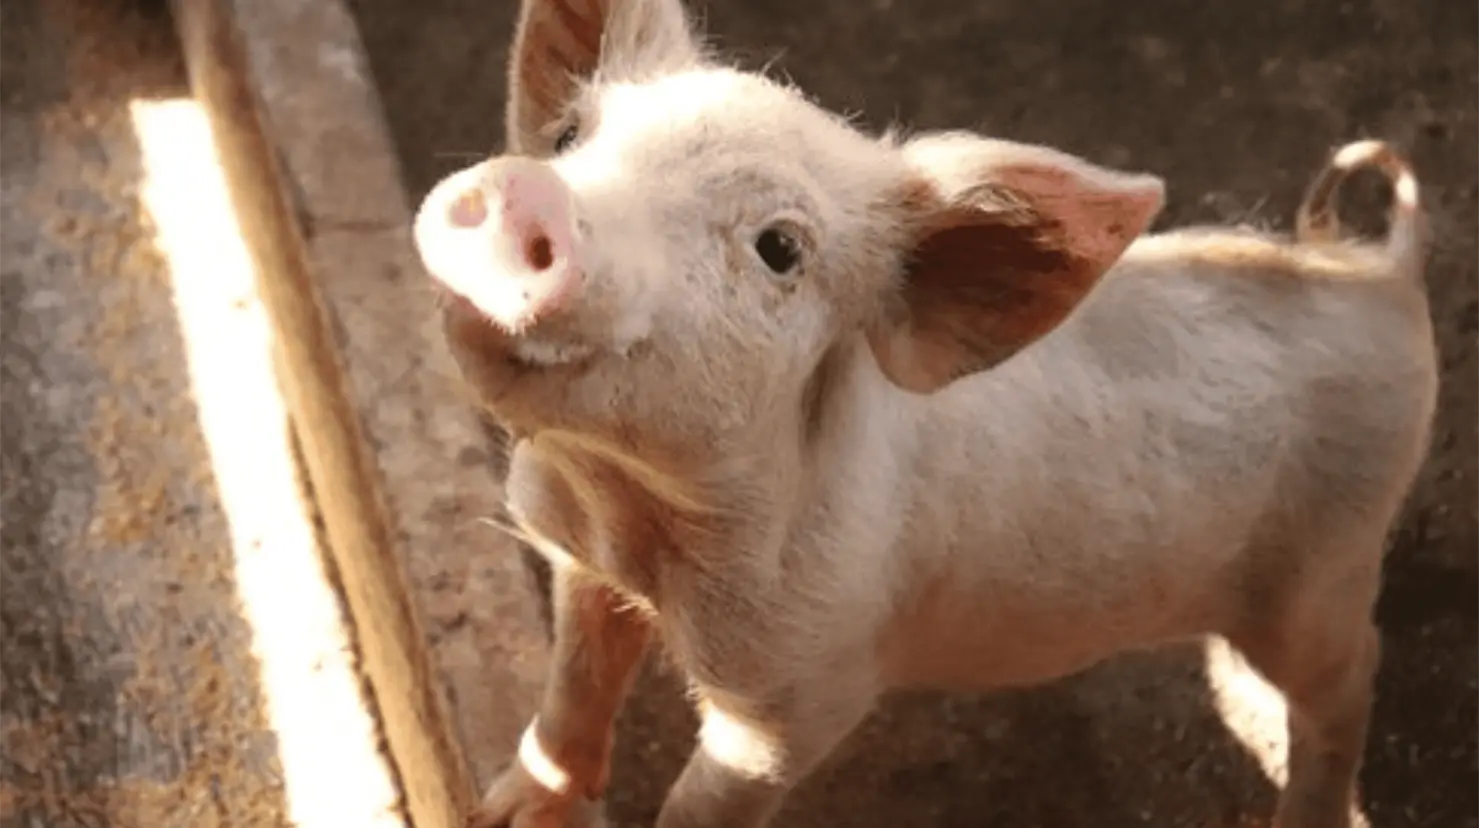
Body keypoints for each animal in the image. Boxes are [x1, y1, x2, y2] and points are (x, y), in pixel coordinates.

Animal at [410, 1, 1438, 826]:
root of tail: (1379, 274)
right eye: (570, 135)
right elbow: (573, 691)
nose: (524, 191)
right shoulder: (580, 563)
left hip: (1326, 566)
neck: (635, 518)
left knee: (1349, 681)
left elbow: (705, 799)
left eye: (779, 248)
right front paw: (500, 812)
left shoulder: (805, 690)